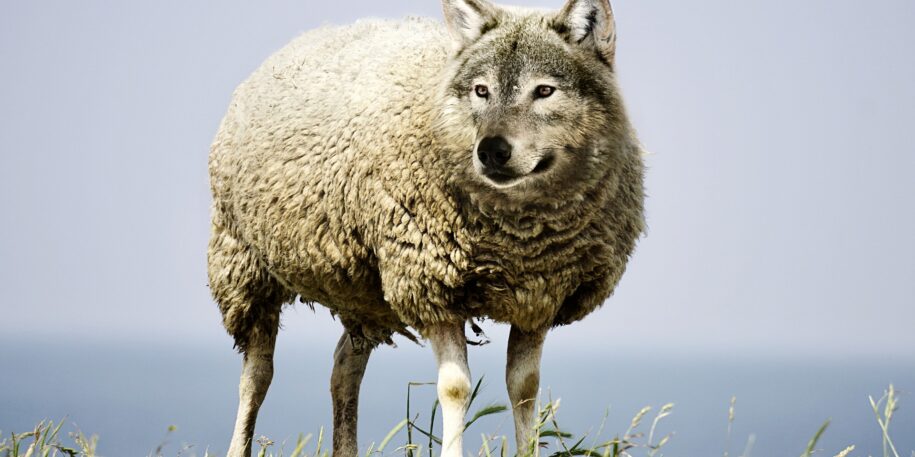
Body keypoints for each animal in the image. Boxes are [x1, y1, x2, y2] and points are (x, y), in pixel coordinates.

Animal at [208, 0, 645, 456]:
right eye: (481, 90)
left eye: (544, 90)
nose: (491, 150)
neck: (518, 239)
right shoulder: (431, 286)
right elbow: (455, 389)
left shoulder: (539, 297)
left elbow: (525, 389)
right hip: (243, 263)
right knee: (257, 374)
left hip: (365, 294)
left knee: (345, 366)